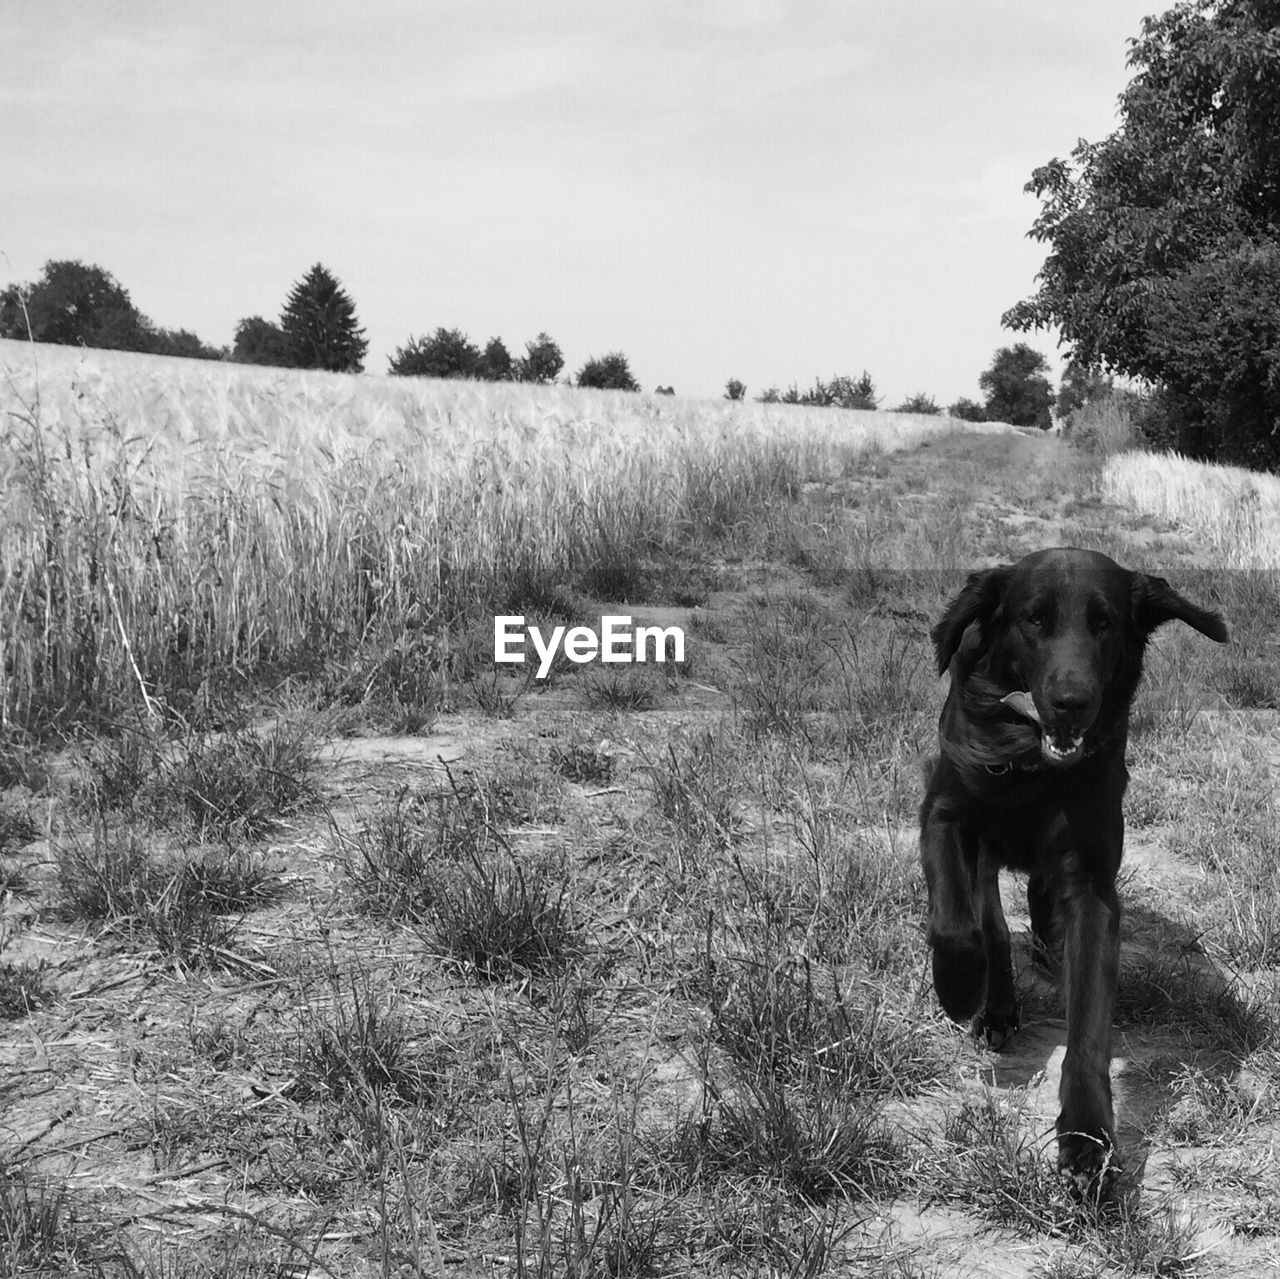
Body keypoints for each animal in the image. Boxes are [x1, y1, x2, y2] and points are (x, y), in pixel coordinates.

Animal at [921, 545, 1228, 1182]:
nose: (1071, 703)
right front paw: (962, 990)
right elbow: (961, 925)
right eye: (1033, 619)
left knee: (1039, 897)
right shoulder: (945, 815)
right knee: (988, 922)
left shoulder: (1092, 882)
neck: (1032, 767)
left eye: (1104, 623)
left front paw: (1087, 1139)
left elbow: (1089, 1020)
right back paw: (995, 1003)